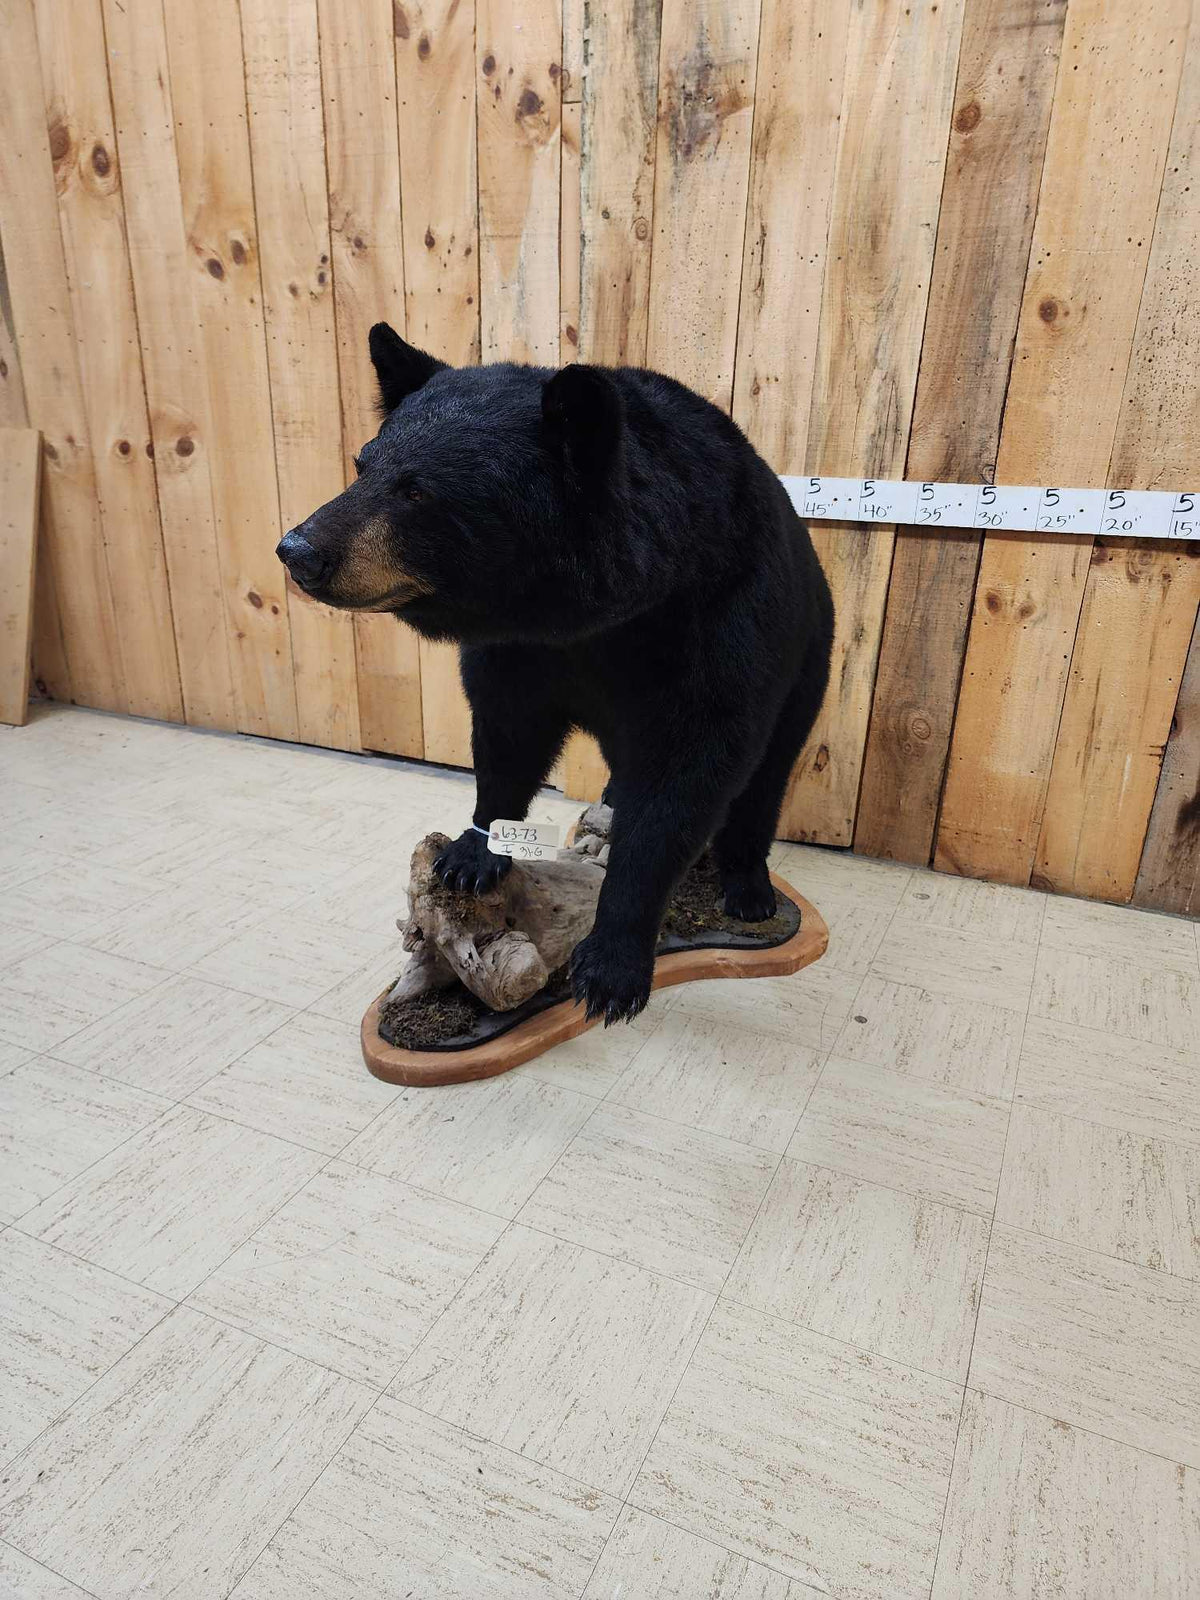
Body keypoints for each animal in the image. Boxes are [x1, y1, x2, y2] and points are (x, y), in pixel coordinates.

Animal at [277, 324, 834, 1024]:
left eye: (418, 490)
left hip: (807, 657)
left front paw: (613, 965)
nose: (298, 550)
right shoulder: (519, 650)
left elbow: (689, 776)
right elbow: (506, 736)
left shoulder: (719, 622)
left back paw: (749, 887)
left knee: (767, 777)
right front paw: (473, 851)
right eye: (362, 465)